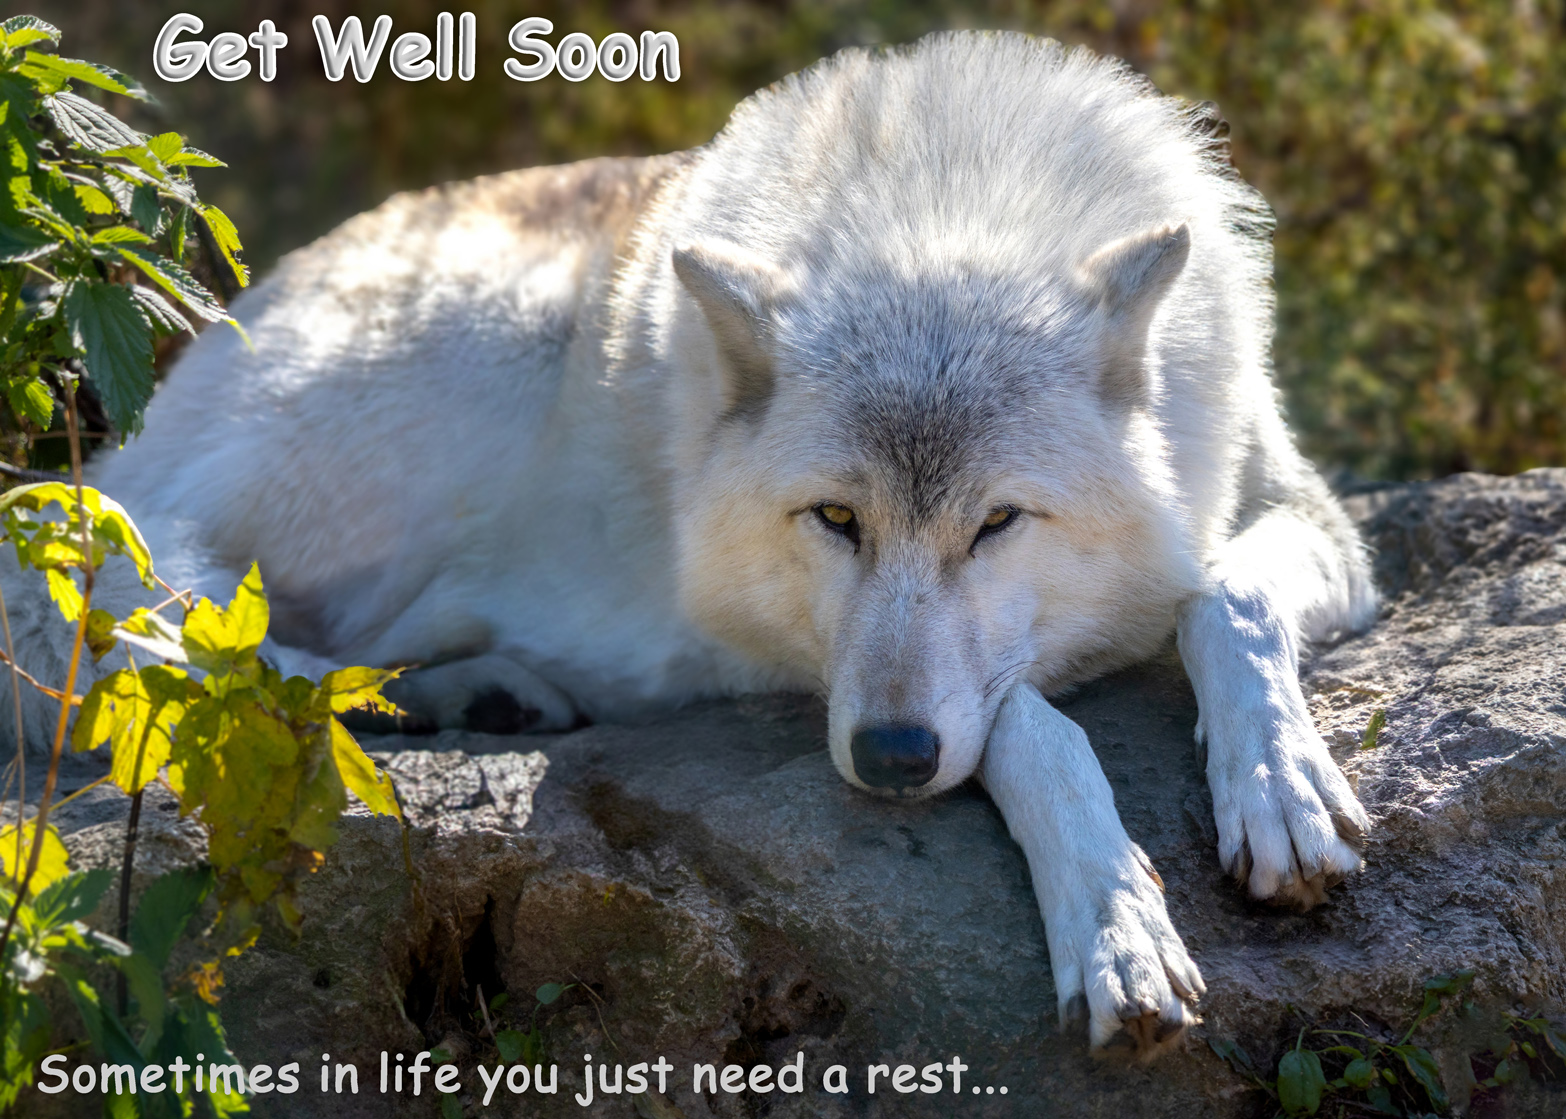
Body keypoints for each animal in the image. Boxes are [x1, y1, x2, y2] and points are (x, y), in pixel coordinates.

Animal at [6, 32, 1375, 1055]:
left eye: (997, 522)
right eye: (836, 520)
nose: (890, 761)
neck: (948, 202)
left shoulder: (1315, 518)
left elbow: (1225, 601)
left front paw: (1281, 791)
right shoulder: (802, 660)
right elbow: (1030, 720)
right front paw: (1116, 920)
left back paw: (474, 697)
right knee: (173, 628)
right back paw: (372, 700)